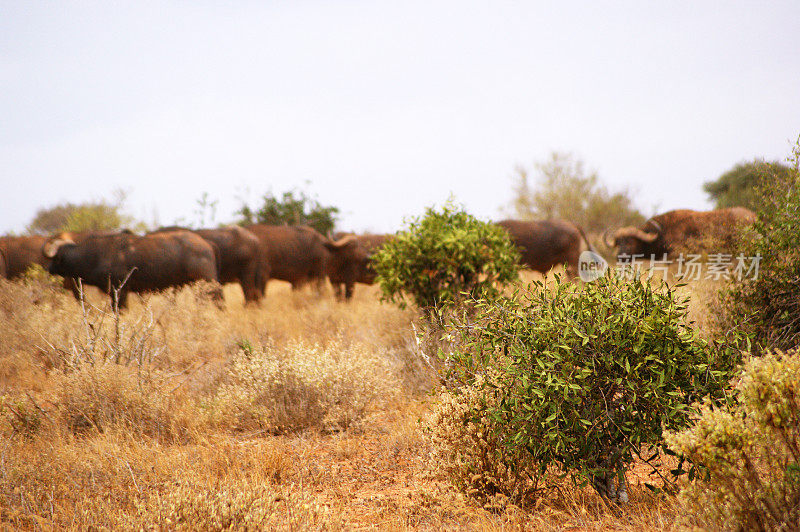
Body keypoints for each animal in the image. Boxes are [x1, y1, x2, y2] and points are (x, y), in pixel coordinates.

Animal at [45, 230, 223, 308]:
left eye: (56, 259)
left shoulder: (120, 290)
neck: (95, 256)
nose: (49, 269)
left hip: (208, 283)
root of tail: (206, 243)